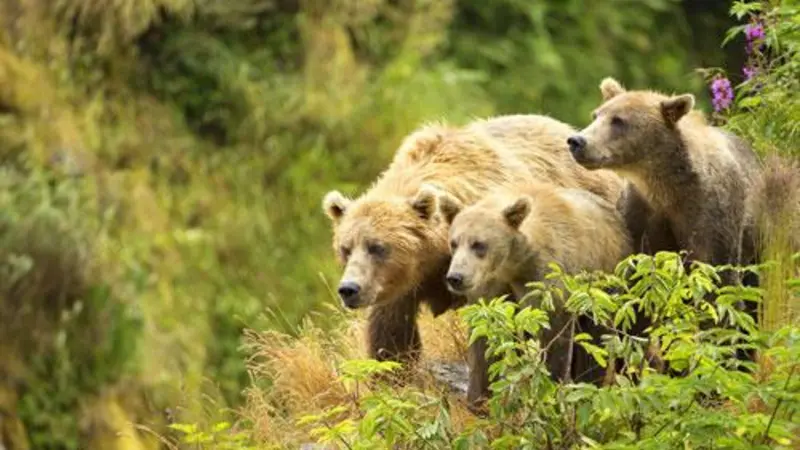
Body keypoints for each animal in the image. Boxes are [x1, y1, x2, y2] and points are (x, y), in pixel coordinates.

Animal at [436, 180, 633, 408]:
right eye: (454, 242)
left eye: (479, 244)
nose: (455, 277)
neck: (513, 263)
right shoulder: (493, 288)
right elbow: (484, 338)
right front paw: (479, 398)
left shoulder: (548, 281)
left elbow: (554, 339)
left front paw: (551, 392)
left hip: (602, 281)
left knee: (594, 337)